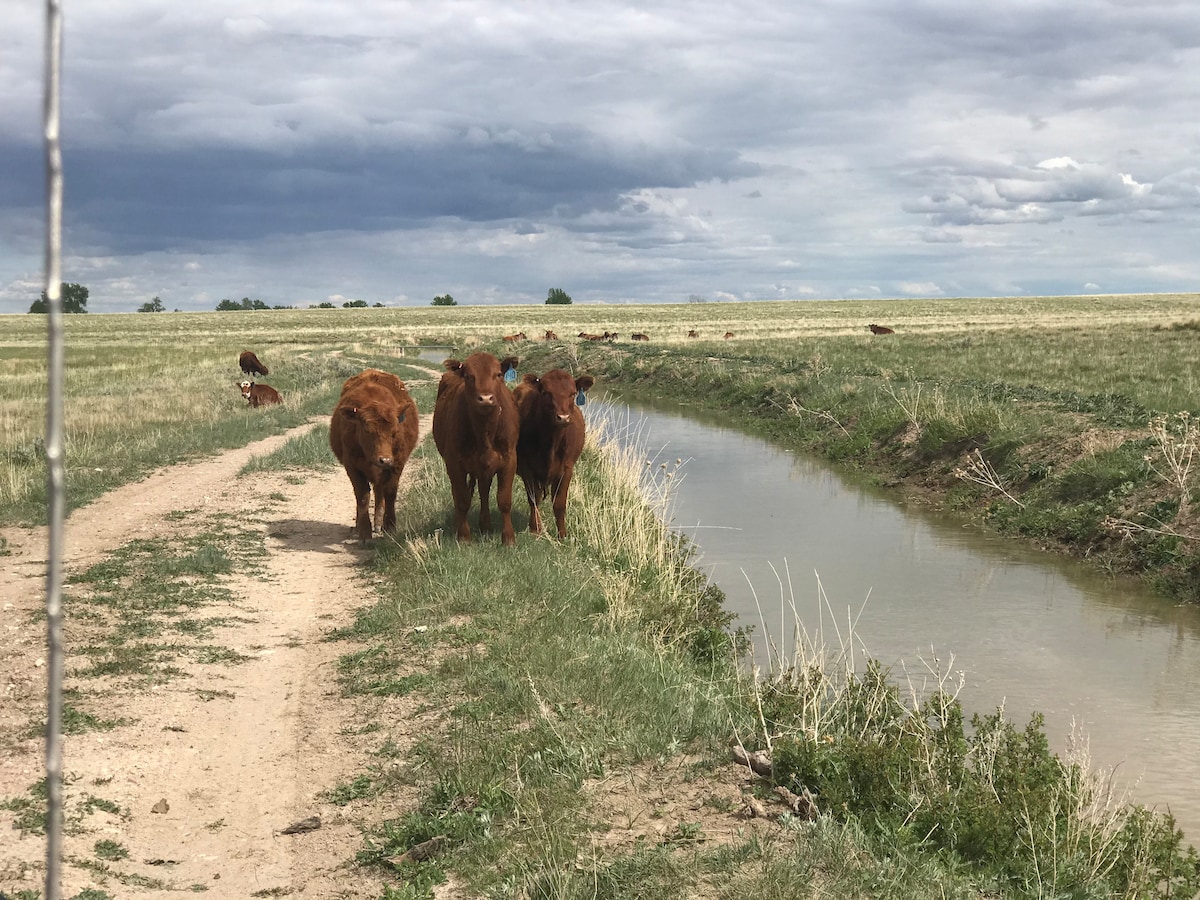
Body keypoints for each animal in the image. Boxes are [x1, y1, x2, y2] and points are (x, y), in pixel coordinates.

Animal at [331, 367, 420, 542]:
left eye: (394, 432)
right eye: (367, 431)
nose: (384, 460)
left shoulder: (397, 463)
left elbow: (390, 492)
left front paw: (390, 527)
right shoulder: (352, 466)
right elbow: (362, 496)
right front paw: (364, 532)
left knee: (380, 491)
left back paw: (379, 523)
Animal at [434, 355, 523, 549]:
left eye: (498, 374)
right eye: (468, 376)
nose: (486, 398)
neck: (485, 432)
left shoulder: (509, 460)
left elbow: (504, 500)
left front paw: (509, 538)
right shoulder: (454, 463)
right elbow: (462, 499)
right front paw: (463, 536)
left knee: (483, 491)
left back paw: (486, 525)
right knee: (460, 493)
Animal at [511, 369, 595, 540]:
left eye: (573, 393)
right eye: (546, 393)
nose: (563, 417)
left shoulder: (567, 469)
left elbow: (559, 503)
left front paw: (562, 534)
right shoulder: (527, 468)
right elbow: (534, 498)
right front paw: (535, 528)